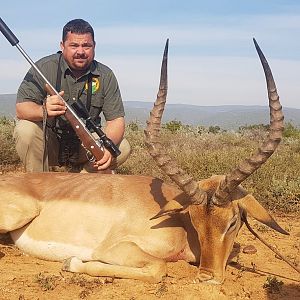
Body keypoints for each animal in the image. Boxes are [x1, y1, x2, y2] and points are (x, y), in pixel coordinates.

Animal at [1, 39, 290, 284]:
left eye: (232, 222)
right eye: (194, 218)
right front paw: (71, 262)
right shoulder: (115, 248)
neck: (178, 225)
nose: (207, 277)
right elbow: (158, 268)